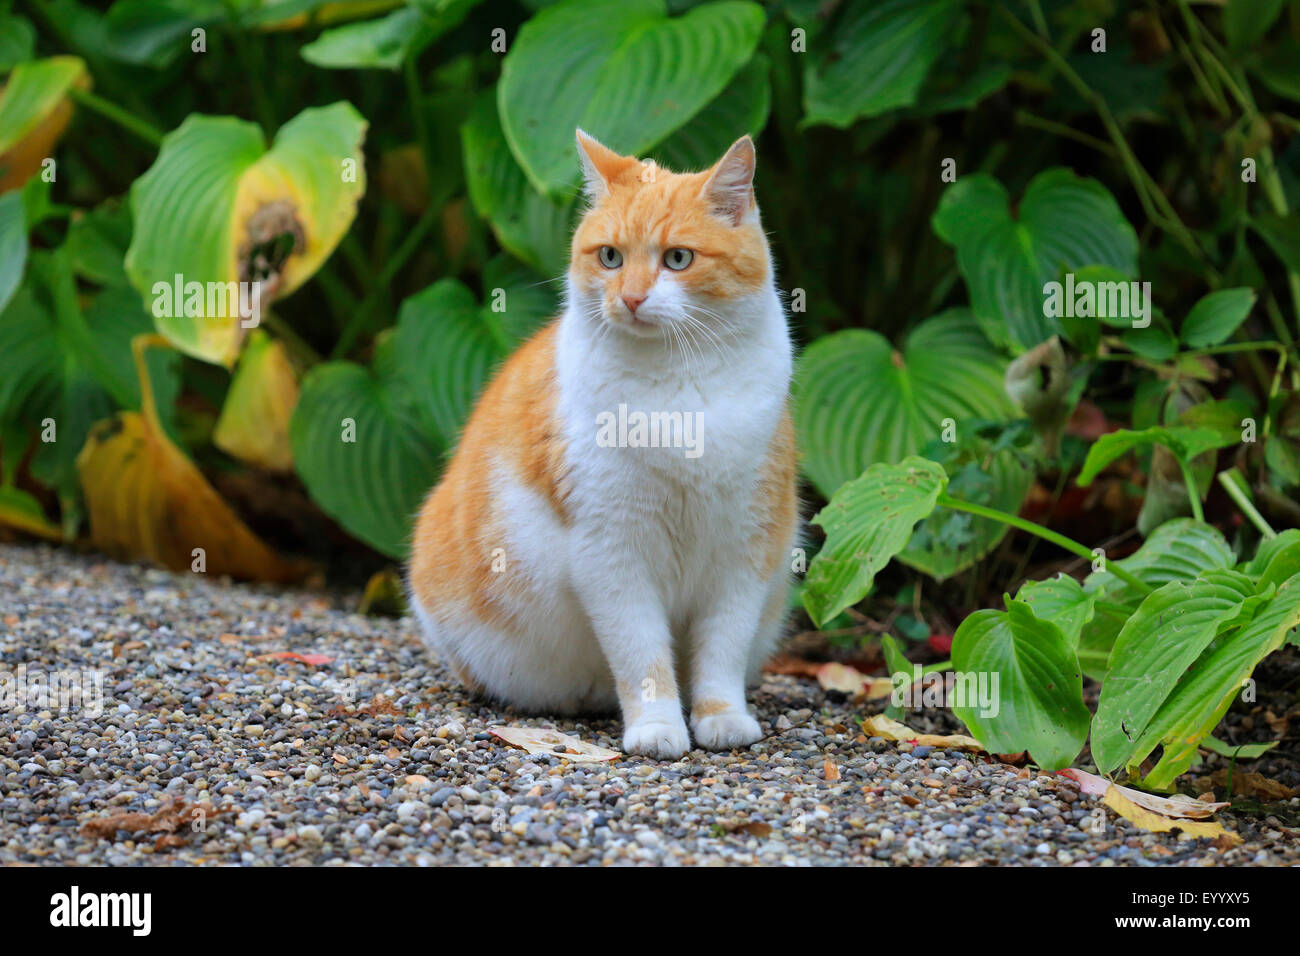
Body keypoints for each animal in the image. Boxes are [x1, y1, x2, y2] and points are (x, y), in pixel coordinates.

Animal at [405, 127, 795, 759]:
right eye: (610, 256)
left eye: (678, 258)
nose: (631, 298)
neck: (677, 387)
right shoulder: (612, 552)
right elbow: (641, 654)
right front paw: (658, 726)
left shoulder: (746, 549)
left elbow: (722, 651)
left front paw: (721, 717)